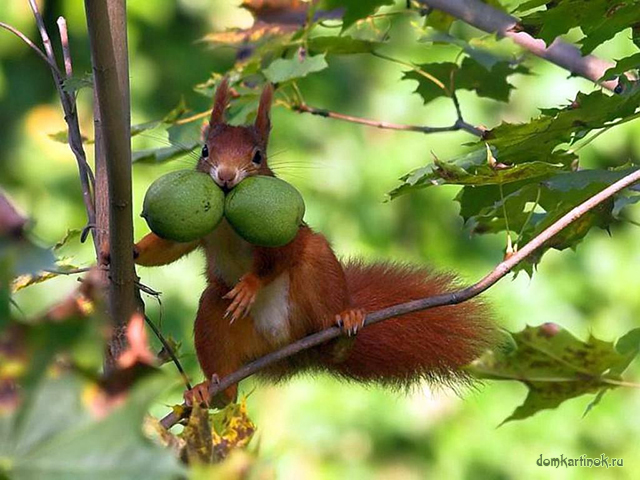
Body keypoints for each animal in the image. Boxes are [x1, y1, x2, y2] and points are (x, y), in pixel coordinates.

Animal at [134, 79, 496, 404]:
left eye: (257, 156)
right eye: (206, 150)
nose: (225, 177)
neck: (225, 216)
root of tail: (285, 347)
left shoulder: (284, 236)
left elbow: (277, 257)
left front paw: (250, 284)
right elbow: (171, 246)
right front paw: (130, 253)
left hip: (317, 282)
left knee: (326, 320)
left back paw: (343, 328)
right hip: (214, 314)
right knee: (227, 388)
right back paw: (207, 391)